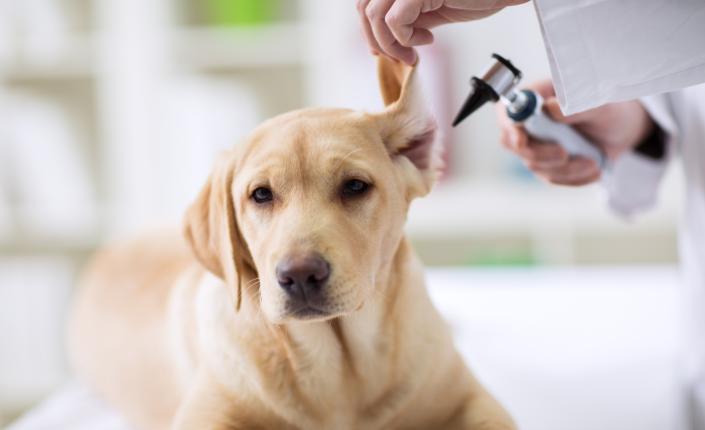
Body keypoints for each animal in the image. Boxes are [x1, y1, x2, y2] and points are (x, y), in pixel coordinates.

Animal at [69, 58, 516, 430]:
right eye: (261, 194)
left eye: (355, 186)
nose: (300, 275)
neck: (341, 367)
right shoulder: (206, 415)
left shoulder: (473, 400)